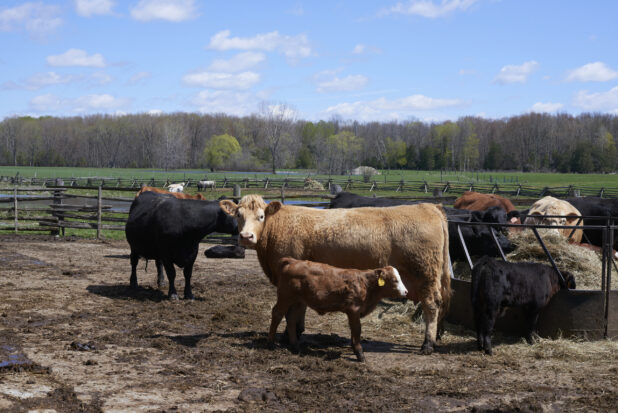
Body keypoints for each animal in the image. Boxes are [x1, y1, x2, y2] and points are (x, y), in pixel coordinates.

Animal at [268, 258, 406, 360]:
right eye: (394, 280)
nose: (406, 292)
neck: (365, 284)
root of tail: (292, 261)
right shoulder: (354, 310)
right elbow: (357, 330)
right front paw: (359, 353)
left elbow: (354, 331)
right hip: (285, 297)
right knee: (277, 314)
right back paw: (271, 344)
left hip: (297, 301)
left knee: (290, 319)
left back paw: (295, 346)